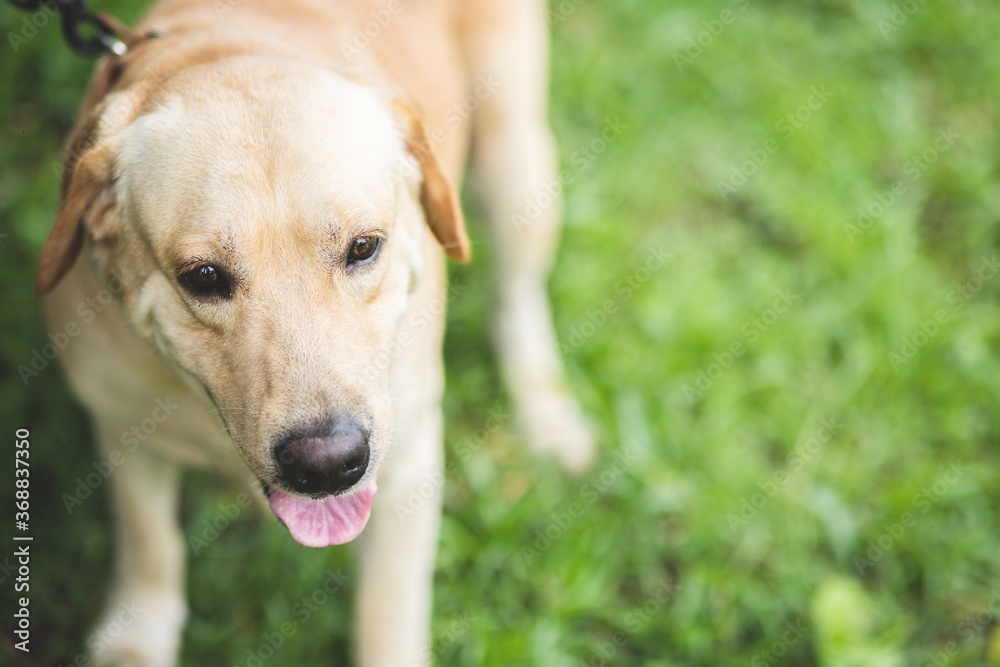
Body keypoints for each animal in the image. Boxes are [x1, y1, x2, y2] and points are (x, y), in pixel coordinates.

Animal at [37, 1, 592, 664]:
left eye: (363, 247)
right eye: (202, 276)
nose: (328, 465)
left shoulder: (406, 465)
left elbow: (387, 612)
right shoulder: (120, 422)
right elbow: (150, 541)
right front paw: (139, 635)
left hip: (516, 160)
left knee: (519, 297)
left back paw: (549, 417)